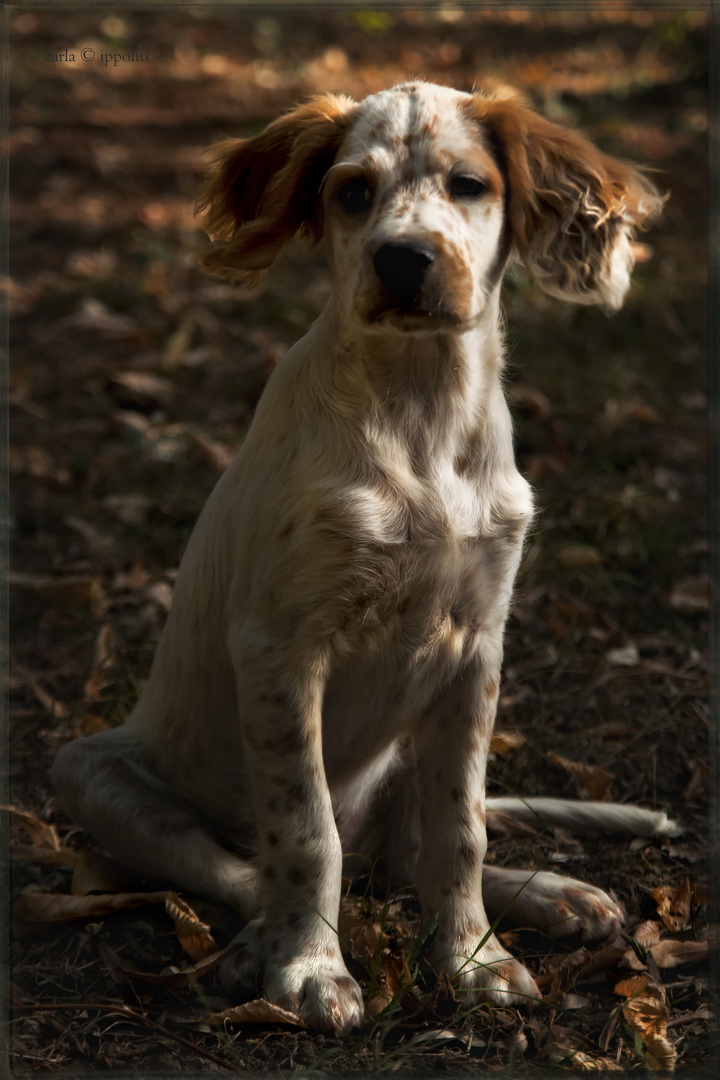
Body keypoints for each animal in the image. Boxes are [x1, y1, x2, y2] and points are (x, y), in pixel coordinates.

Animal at [52, 82, 669, 1028]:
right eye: (351, 193)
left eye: (468, 185)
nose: (404, 260)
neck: (419, 407)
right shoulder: (279, 649)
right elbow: (308, 835)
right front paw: (310, 968)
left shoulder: (476, 650)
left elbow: (460, 829)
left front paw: (474, 959)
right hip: (89, 770)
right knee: (260, 866)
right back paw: (255, 945)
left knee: (406, 852)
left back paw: (551, 893)